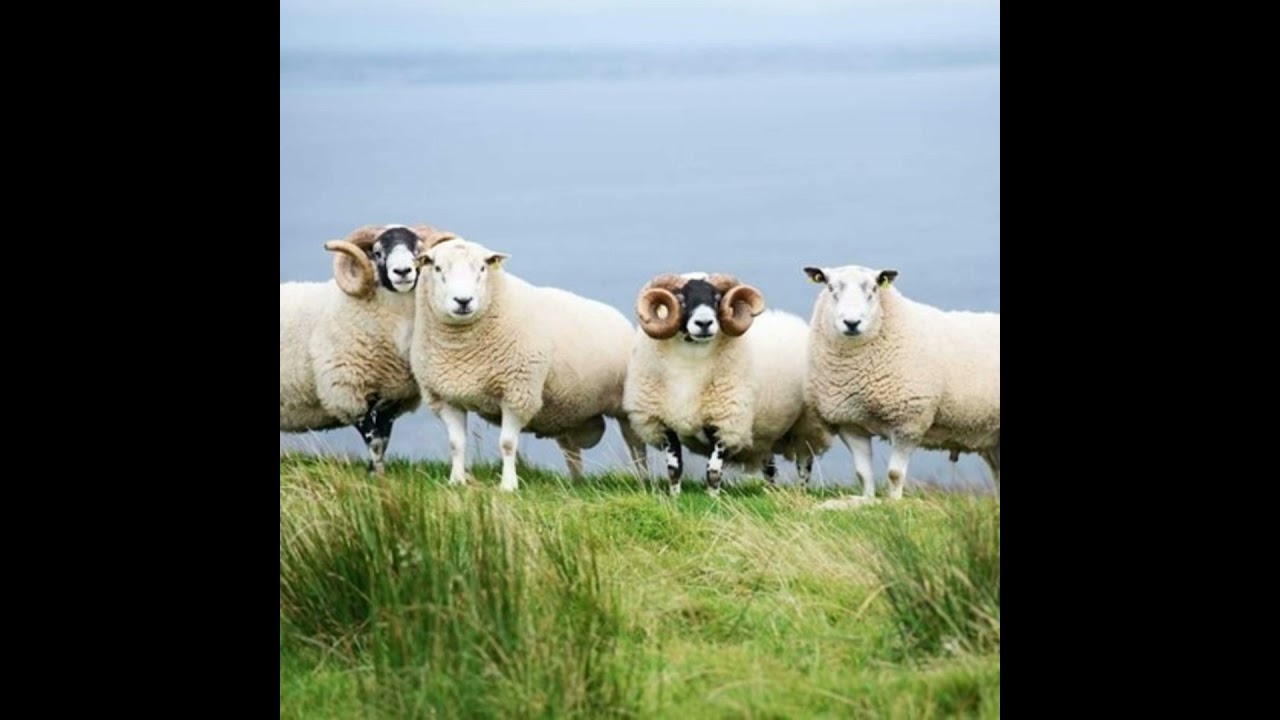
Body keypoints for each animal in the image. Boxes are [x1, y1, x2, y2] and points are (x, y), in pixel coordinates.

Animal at [280, 223, 457, 475]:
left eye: (418, 251)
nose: (403, 271)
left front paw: (377, 472)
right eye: (377, 252)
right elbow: (374, 441)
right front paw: (376, 475)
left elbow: (384, 439)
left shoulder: (393, 398)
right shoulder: (348, 394)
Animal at [410, 238, 649, 492]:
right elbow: (456, 443)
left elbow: (507, 444)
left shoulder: (517, 392)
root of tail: (619, 318)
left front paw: (508, 485)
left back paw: (643, 481)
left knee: (636, 445)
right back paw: (577, 483)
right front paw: (456, 481)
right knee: (571, 450)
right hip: (567, 412)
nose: (463, 301)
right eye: (437, 268)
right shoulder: (445, 396)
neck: (462, 351)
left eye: (483, 268)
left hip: (624, 406)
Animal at [623, 272, 833, 497]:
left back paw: (801, 493)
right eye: (681, 299)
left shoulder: (725, 422)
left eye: (717, 299)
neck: (689, 368)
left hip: (808, 424)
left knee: (804, 463)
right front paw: (674, 497)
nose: (704, 323)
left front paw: (713, 499)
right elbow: (674, 468)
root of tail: (793, 321)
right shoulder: (664, 422)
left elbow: (714, 471)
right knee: (769, 467)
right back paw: (770, 492)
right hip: (765, 433)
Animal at [802, 264, 999, 501]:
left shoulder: (908, 421)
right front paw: (867, 500)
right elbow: (862, 473)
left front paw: (894, 502)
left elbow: (895, 473)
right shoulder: (849, 423)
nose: (852, 323)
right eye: (830, 288)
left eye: (874, 289)